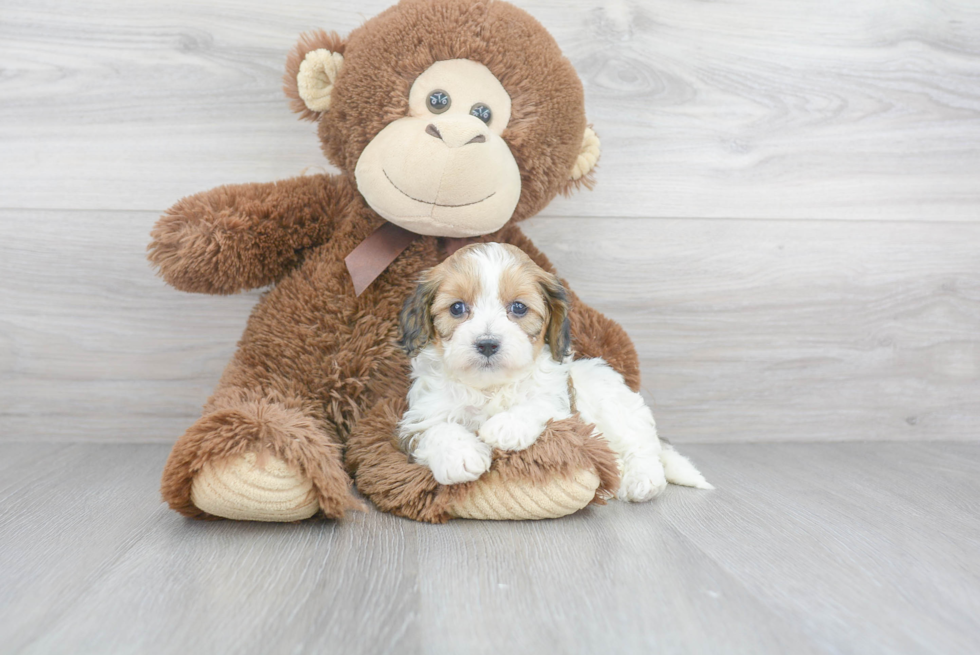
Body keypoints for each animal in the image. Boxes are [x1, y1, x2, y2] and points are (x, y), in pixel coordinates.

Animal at [398, 242, 712, 502]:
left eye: (518, 307)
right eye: (457, 308)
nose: (487, 343)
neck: (490, 387)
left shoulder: (564, 410)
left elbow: (537, 404)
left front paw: (505, 427)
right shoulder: (419, 418)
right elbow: (437, 429)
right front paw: (461, 456)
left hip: (616, 403)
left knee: (640, 443)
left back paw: (641, 480)